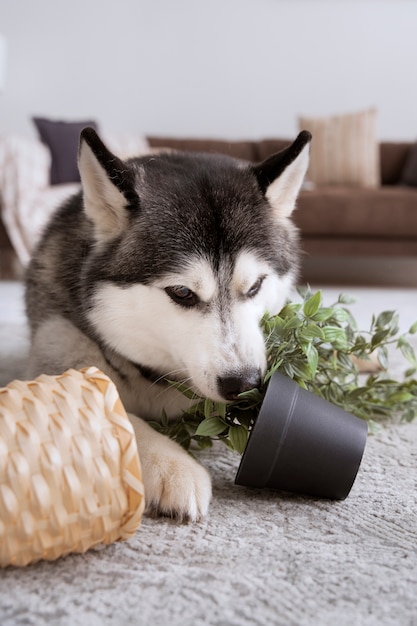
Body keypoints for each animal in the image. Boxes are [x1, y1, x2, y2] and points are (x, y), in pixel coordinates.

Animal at [24, 125, 310, 516]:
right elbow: (114, 413)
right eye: (182, 292)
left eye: (255, 286)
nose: (244, 383)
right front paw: (170, 464)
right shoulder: (57, 344)